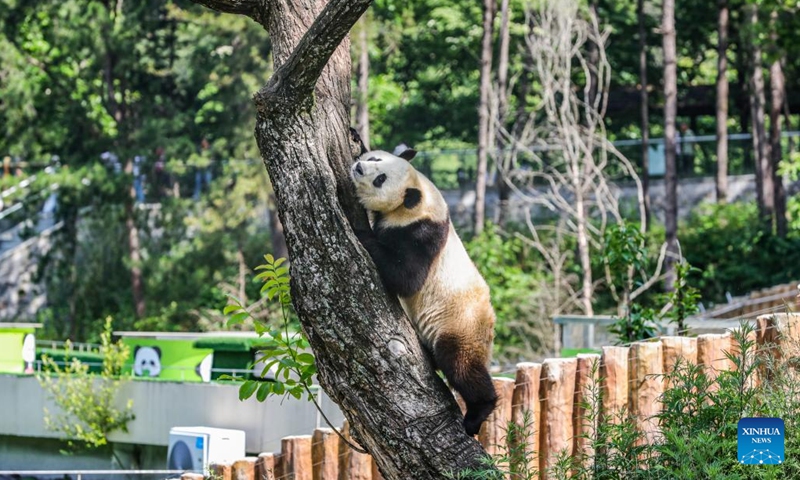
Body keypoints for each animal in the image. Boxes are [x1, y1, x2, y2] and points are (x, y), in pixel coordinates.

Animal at [350, 146, 498, 436]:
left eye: (380, 179)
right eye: (374, 159)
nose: (359, 168)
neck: (417, 193)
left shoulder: (421, 233)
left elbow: (407, 278)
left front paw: (362, 231)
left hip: (460, 324)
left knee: (461, 365)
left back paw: (478, 413)